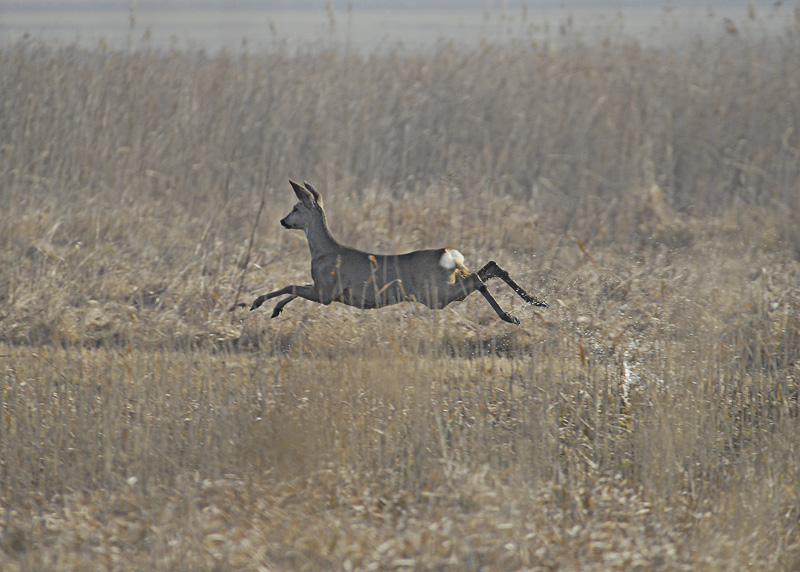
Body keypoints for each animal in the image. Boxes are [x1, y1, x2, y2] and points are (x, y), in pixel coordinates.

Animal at [252, 180, 552, 322]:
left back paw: (510, 316)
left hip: (434, 294)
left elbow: (290, 285)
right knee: (489, 268)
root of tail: (449, 254)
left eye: (295, 208)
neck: (323, 251)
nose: (283, 221)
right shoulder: (323, 289)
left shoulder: (327, 290)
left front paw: (258, 302)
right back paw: (536, 301)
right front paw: (275, 309)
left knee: (478, 278)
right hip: (446, 284)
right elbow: (294, 288)